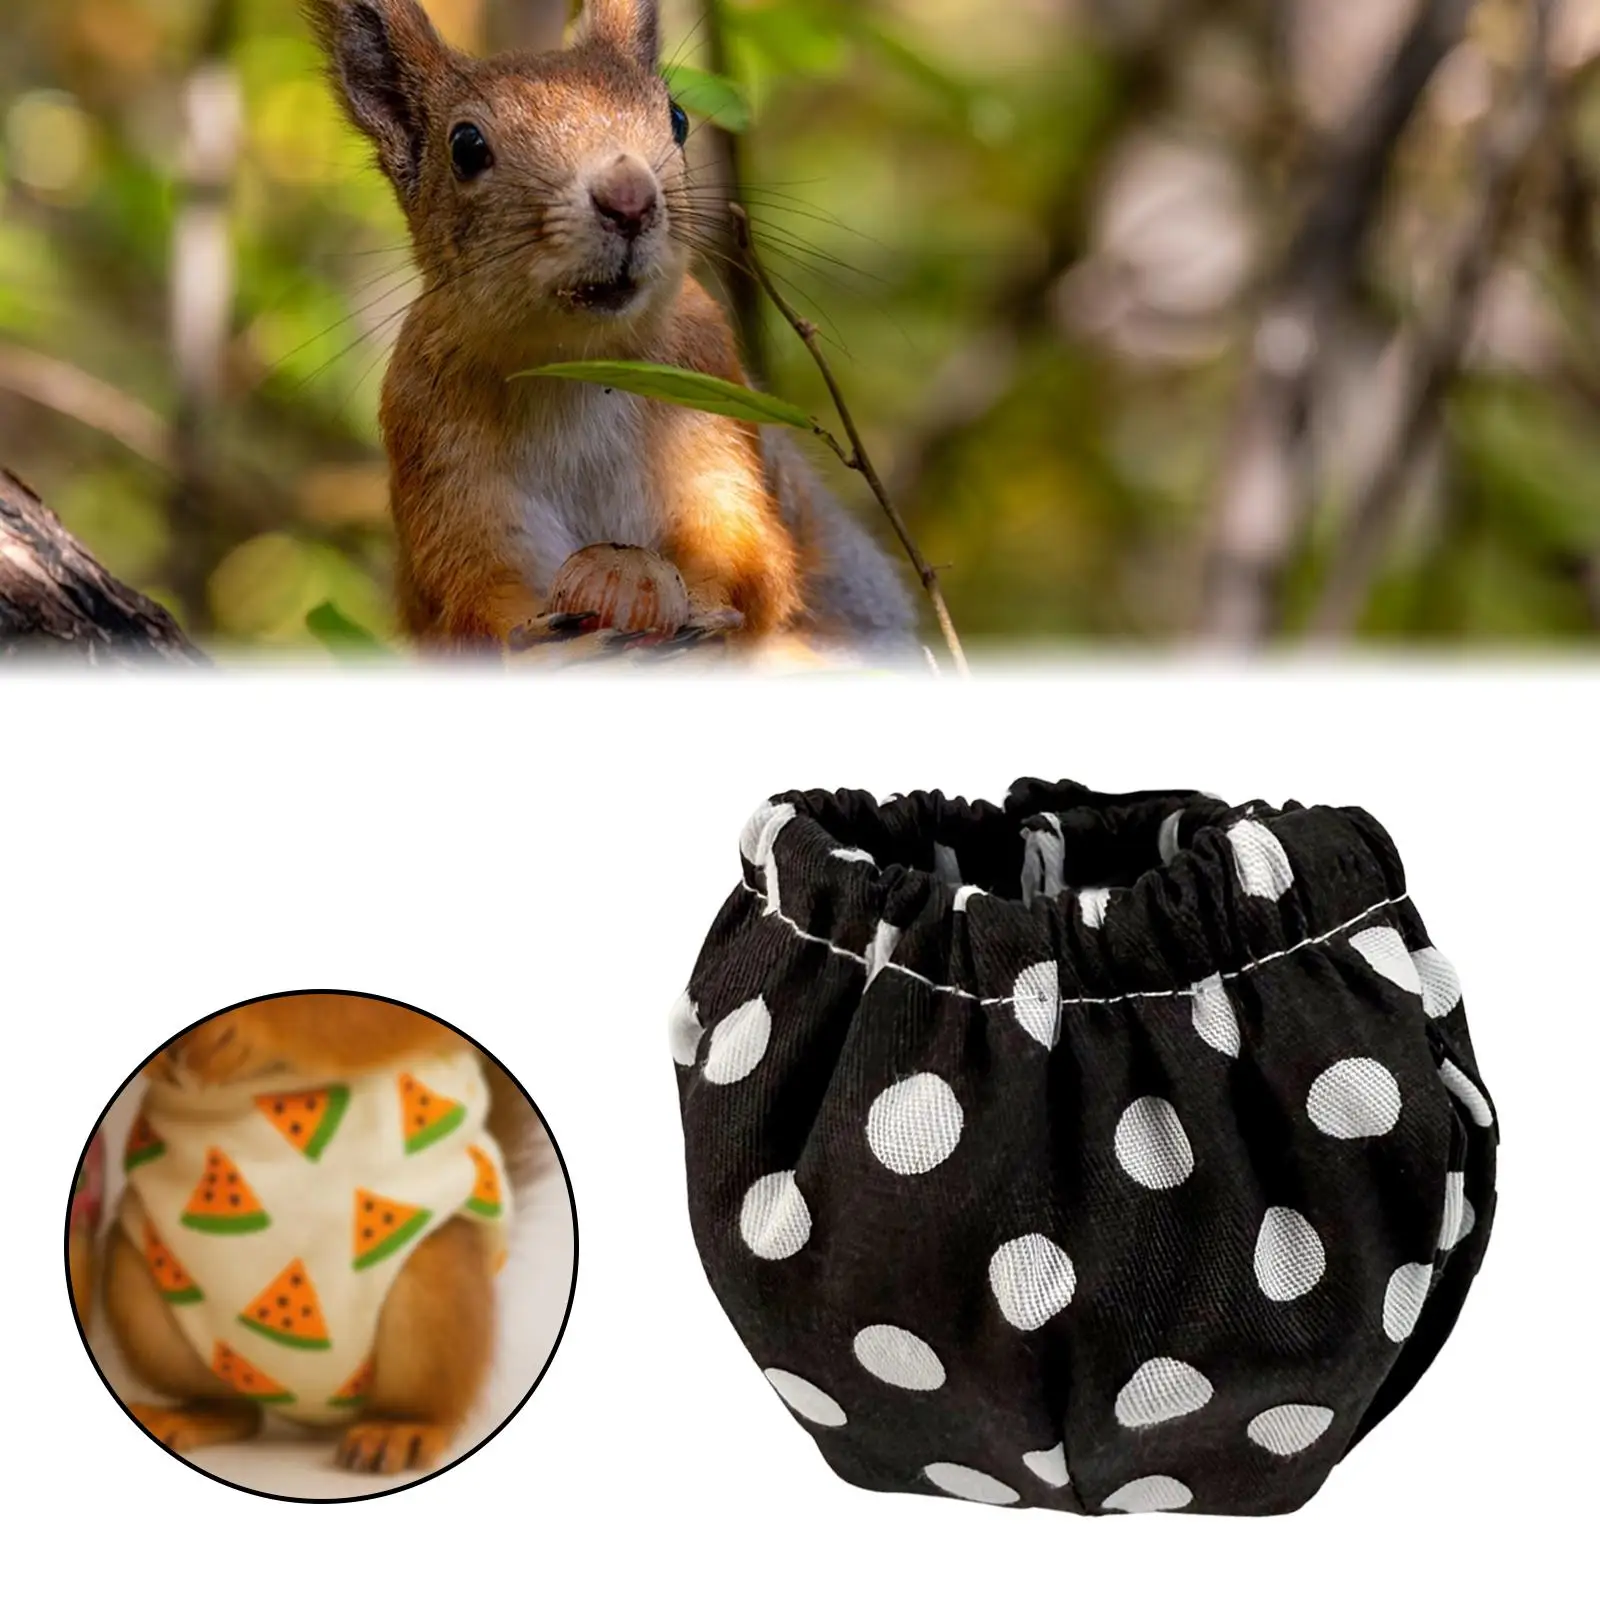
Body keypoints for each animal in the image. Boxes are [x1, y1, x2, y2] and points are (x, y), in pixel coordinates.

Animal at [101, 994, 551, 1476]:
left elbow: (347, 1017)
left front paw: (242, 1028)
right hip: (143, 1287)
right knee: (236, 1410)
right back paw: (193, 1415)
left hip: (434, 1285)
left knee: (432, 1396)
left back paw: (402, 1428)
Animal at [305, 0, 915, 652]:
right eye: (465, 146)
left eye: (677, 118)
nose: (629, 200)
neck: (578, 362)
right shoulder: (438, 456)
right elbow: (475, 601)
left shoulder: (711, 394)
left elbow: (745, 550)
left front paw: (691, 603)